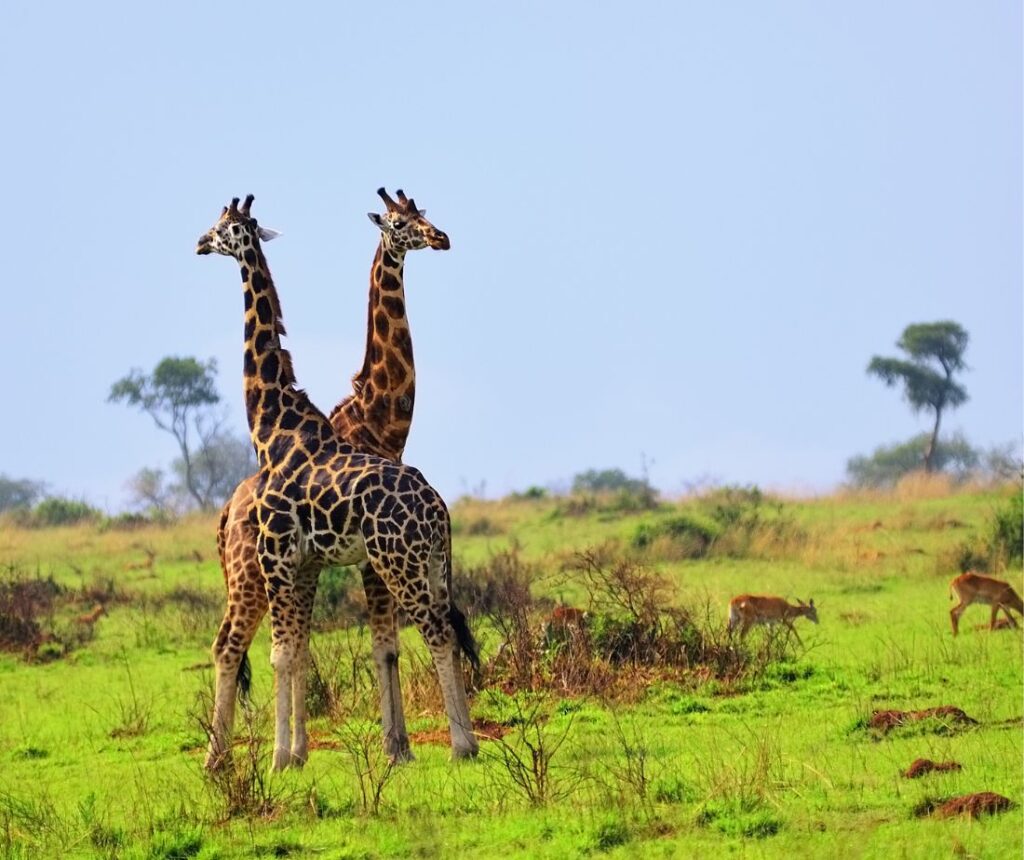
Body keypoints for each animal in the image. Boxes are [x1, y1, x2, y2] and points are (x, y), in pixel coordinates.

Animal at [196, 195, 477, 771]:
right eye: (402, 221)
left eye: (223, 228)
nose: (198, 242)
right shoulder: (302, 563)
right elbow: (305, 650)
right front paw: (302, 752)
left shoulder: (291, 559)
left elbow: (306, 651)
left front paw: (290, 757)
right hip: (410, 566)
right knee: (228, 645)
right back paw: (219, 759)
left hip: (391, 564)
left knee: (437, 631)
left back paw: (462, 744)